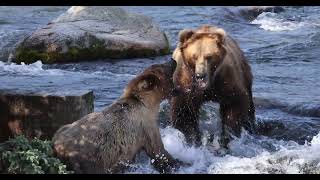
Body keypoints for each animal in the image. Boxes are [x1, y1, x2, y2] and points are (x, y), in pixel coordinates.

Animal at [52, 59, 182, 174]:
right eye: (162, 67)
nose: (172, 60)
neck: (149, 105)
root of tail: (57, 146)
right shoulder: (146, 127)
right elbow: (158, 151)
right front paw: (177, 163)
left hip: (64, 130)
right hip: (89, 158)